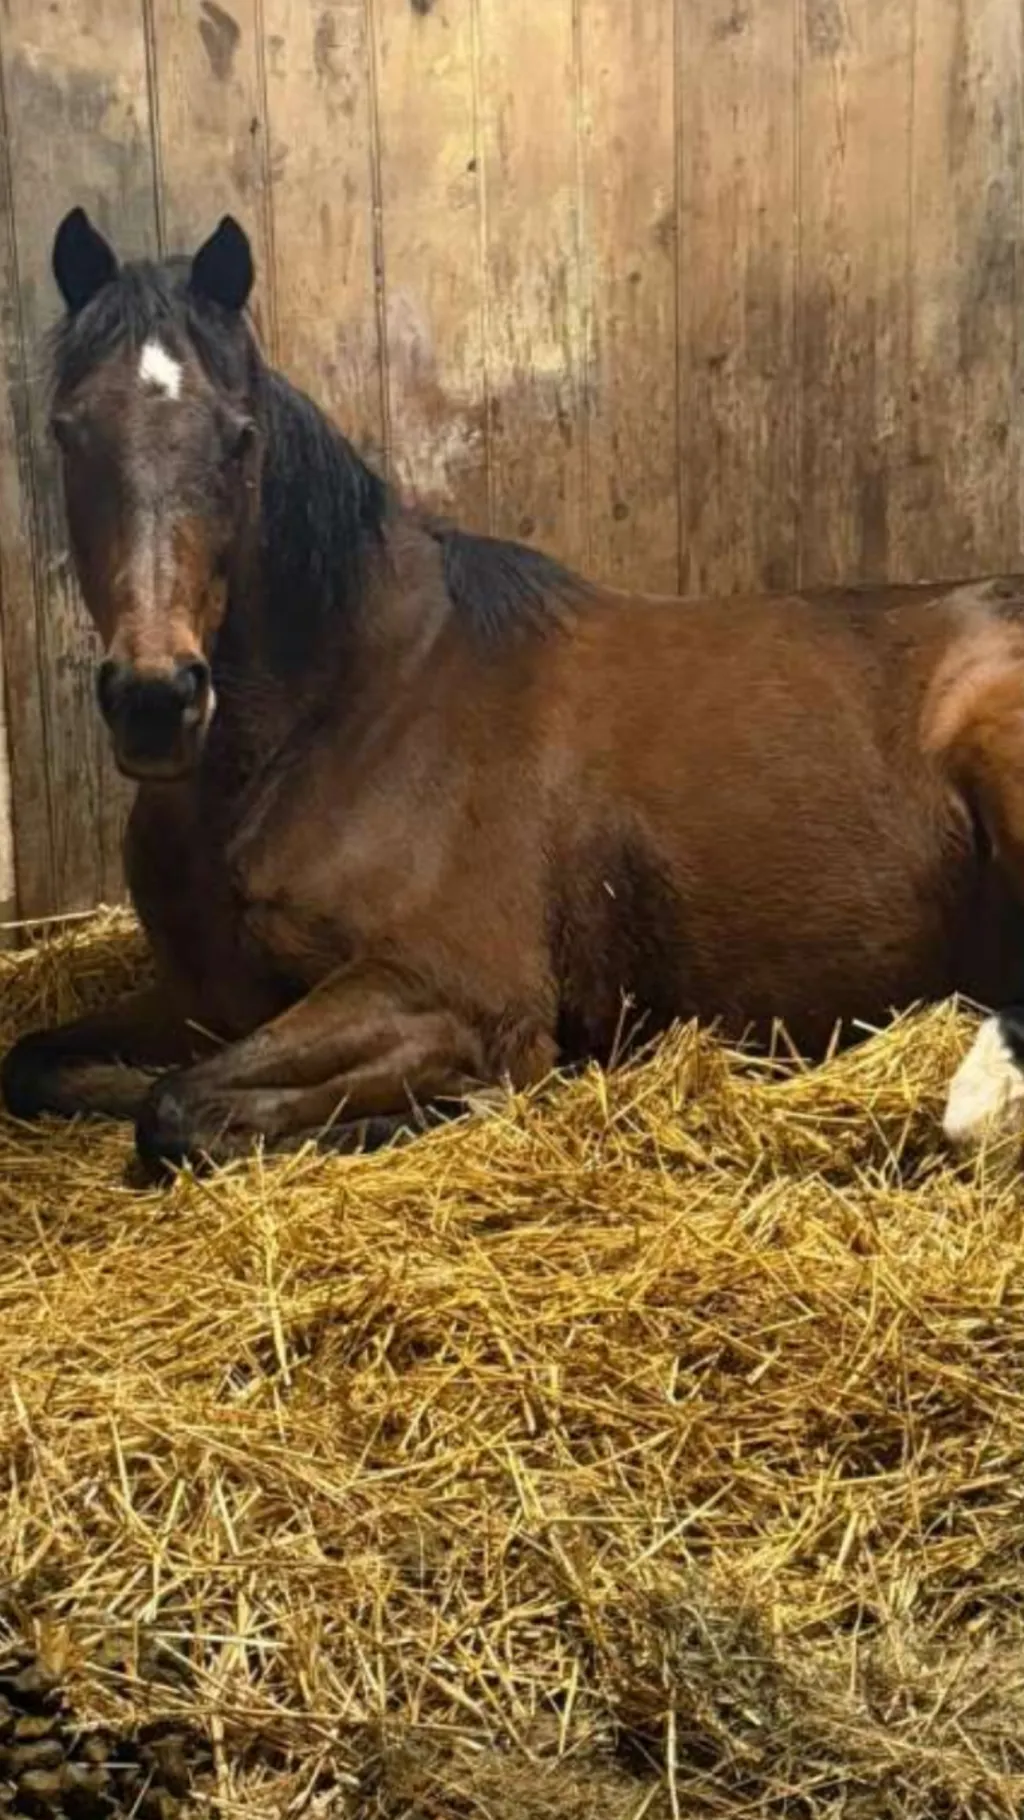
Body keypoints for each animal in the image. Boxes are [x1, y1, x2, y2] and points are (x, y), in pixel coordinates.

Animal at [3, 206, 1024, 1177]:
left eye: (239, 439)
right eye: (68, 430)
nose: (154, 699)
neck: (342, 717)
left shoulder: (446, 990)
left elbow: (181, 1106)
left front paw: (449, 1104)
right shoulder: (203, 995)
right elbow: (49, 1066)